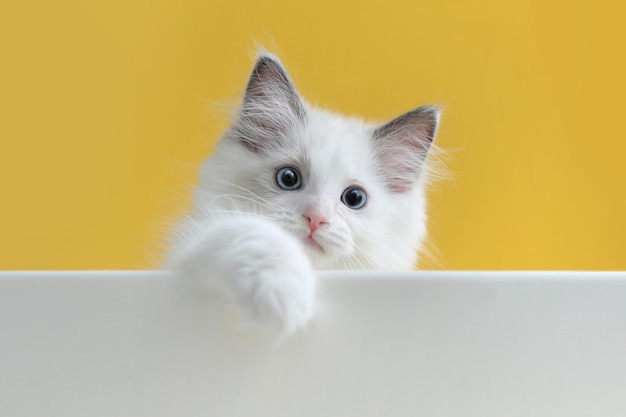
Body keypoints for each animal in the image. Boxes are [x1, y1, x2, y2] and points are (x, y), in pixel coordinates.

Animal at [165, 52, 438, 334]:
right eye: (288, 178)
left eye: (354, 198)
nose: (316, 218)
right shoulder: (185, 253)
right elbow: (252, 231)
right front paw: (282, 295)